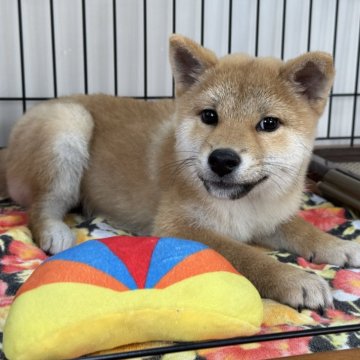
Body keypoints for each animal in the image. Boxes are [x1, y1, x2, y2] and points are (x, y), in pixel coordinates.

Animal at [1, 35, 358, 310]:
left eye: (268, 124)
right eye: (210, 116)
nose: (222, 159)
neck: (244, 205)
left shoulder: (269, 217)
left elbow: (301, 229)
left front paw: (338, 245)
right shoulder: (178, 226)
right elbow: (244, 254)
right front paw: (293, 278)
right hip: (69, 124)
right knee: (40, 207)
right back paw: (53, 230)